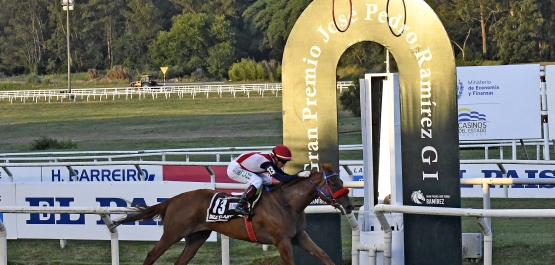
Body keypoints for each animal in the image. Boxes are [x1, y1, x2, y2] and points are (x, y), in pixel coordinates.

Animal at [112, 162, 354, 262]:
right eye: (334, 184)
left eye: (342, 181)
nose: (350, 206)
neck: (287, 202)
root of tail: (173, 200)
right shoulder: (282, 240)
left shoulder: (298, 236)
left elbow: (323, 255)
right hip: (173, 232)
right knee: (152, 255)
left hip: (196, 237)